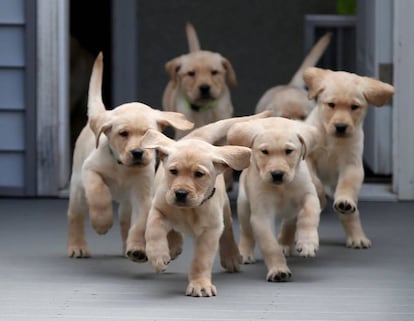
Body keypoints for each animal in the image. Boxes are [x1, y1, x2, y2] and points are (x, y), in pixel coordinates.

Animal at [67, 52, 193, 258]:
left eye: (149, 134)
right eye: (123, 134)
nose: (137, 153)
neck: (122, 167)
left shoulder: (142, 194)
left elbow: (140, 223)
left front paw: (137, 248)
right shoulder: (90, 170)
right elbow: (99, 194)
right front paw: (102, 223)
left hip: (126, 203)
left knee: (125, 221)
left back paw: (128, 247)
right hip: (78, 187)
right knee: (75, 216)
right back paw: (77, 246)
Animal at [139, 112, 270, 296]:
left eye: (199, 174)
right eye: (173, 171)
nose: (180, 193)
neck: (190, 210)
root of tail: (198, 137)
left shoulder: (210, 230)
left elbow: (201, 260)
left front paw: (200, 284)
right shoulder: (159, 208)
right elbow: (154, 230)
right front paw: (158, 256)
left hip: (224, 210)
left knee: (227, 232)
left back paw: (231, 257)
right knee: (172, 229)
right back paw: (173, 246)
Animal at [226, 117, 320, 280]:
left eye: (288, 151)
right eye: (265, 152)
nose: (277, 174)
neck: (281, 188)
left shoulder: (308, 194)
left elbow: (309, 215)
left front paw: (308, 243)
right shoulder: (262, 214)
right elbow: (270, 245)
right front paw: (278, 270)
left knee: (290, 222)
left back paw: (285, 243)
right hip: (244, 205)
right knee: (246, 232)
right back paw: (245, 252)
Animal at [304, 67, 394, 248]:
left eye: (354, 107)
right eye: (331, 105)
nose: (341, 126)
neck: (331, 138)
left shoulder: (352, 164)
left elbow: (347, 185)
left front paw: (344, 201)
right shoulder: (308, 157)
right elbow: (315, 181)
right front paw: (320, 197)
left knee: (351, 215)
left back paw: (357, 237)